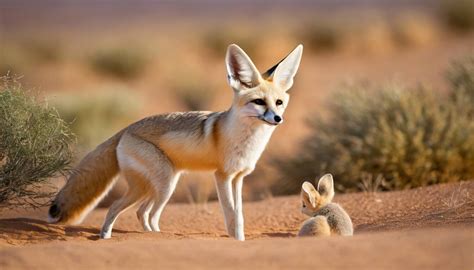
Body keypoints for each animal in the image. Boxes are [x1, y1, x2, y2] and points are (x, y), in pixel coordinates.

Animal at [46, 43, 302, 240]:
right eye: (259, 102)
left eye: (279, 102)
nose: (277, 119)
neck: (247, 141)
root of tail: (125, 129)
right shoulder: (222, 176)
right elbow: (231, 215)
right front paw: (236, 242)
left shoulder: (238, 177)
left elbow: (239, 216)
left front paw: (239, 240)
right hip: (161, 184)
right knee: (117, 207)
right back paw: (106, 237)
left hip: (161, 185)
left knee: (143, 213)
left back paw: (154, 236)